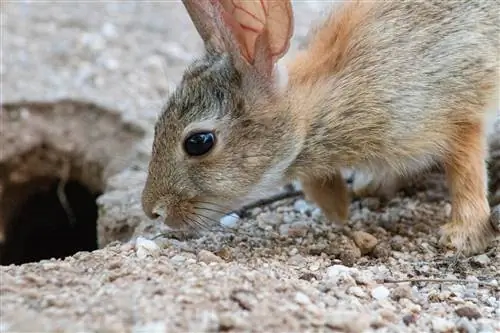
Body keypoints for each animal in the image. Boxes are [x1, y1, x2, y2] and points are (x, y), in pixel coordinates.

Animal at [141, 0, 500, 254]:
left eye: (198, 142)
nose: (151, 211)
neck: (313, 109)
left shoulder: (455, 109)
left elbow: (466, 171)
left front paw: (462, 236)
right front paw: (344, 204)